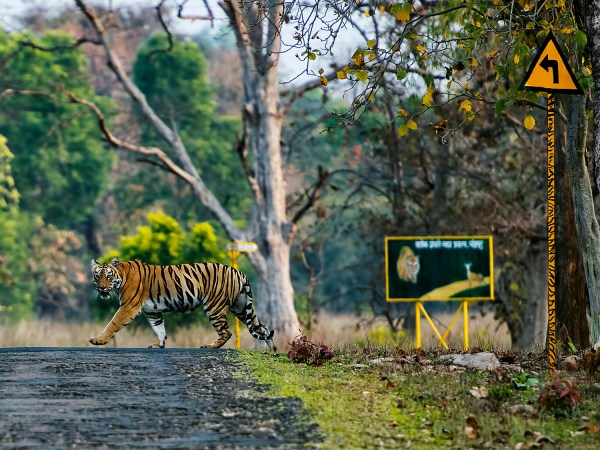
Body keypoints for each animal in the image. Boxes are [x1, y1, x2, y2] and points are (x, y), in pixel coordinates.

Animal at [89, 260, 276, 352]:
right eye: (97, 276)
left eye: (108, 276)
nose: (101, 288)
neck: (122, 276)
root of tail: (238, 272)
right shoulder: (153, 312)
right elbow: (159, 329)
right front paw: (159, 345)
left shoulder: (129, 306)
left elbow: (113, 323)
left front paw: (98, 340)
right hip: (241, 307)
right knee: (263, 327)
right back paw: (273, 350)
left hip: (214, 306)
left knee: (227, 332)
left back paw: (209, 346)